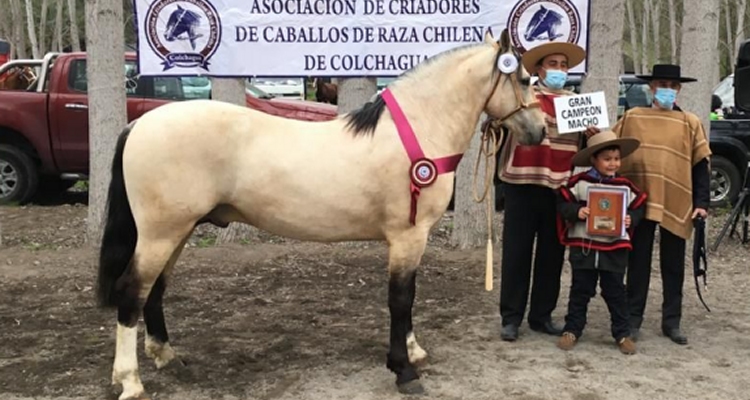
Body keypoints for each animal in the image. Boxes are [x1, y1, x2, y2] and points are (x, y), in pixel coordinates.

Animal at [98, 28, 548, 400]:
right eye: (526, 79)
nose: (541, 130)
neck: (418, 130)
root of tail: (139, 124)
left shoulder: (413, 239)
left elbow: (411, 296)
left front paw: (414, 351)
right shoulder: (408, 236)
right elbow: (400, 299)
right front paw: (403, 371)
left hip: (177, 231)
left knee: (155, 290)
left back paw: (167, 357)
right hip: (160, 233)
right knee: (132, 291)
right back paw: (131, 381)